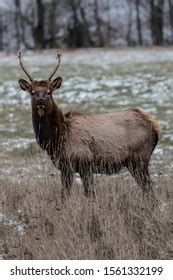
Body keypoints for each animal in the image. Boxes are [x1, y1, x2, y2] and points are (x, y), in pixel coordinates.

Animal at [17, 50, 159, 199]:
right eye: (32, 92)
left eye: (49, 92)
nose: (40, 100)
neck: (58, 138)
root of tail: (156, 127)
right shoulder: (65, 166)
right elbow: (67, 194)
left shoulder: (83, 162)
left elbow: (86, 193)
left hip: (139, 158)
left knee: (149, 189)